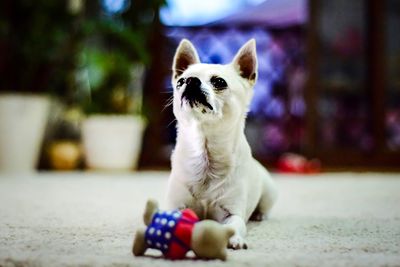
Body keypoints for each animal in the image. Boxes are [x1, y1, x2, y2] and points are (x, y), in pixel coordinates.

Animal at [166, 38, 278, 250]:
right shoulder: (175, 206)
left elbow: (234, 225)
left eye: (219, 82)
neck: (205, 153)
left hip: (269, 192)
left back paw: (259, 215)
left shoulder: (232, 213)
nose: (190, 80)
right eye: (180, 82)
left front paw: (234, 239)